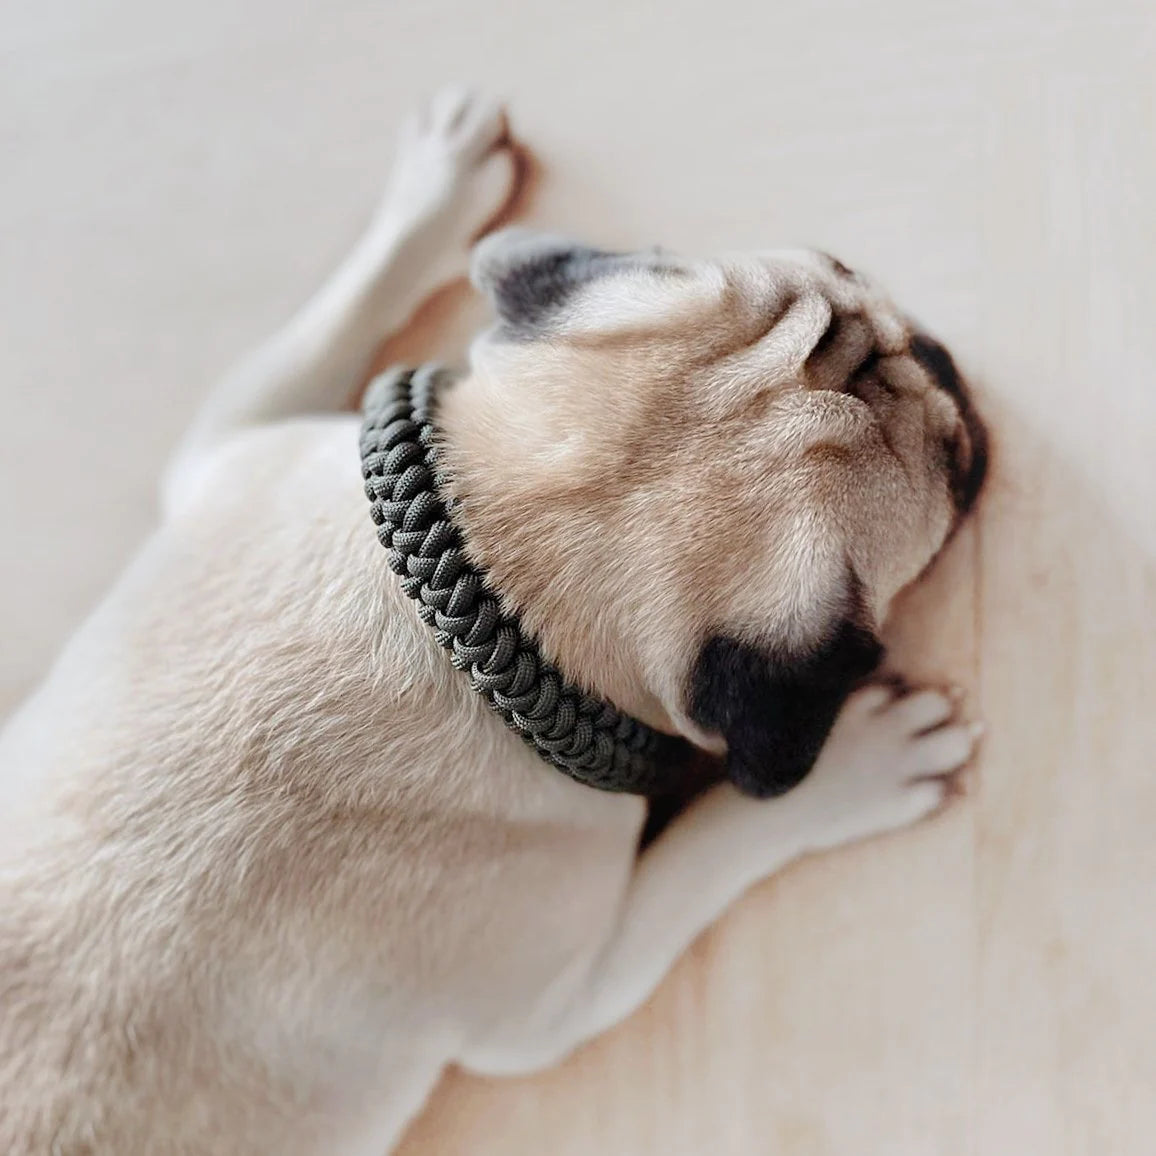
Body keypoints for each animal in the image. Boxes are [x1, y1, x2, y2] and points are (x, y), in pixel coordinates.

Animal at [2, 92, 984, 1156]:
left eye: (845, 266)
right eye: (957, 467)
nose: (942, 356)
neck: (487, 587)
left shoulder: (235, 451)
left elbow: (325, 324)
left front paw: (432, 194)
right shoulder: (552, 1006)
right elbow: (718, 847)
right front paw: (860, 768)